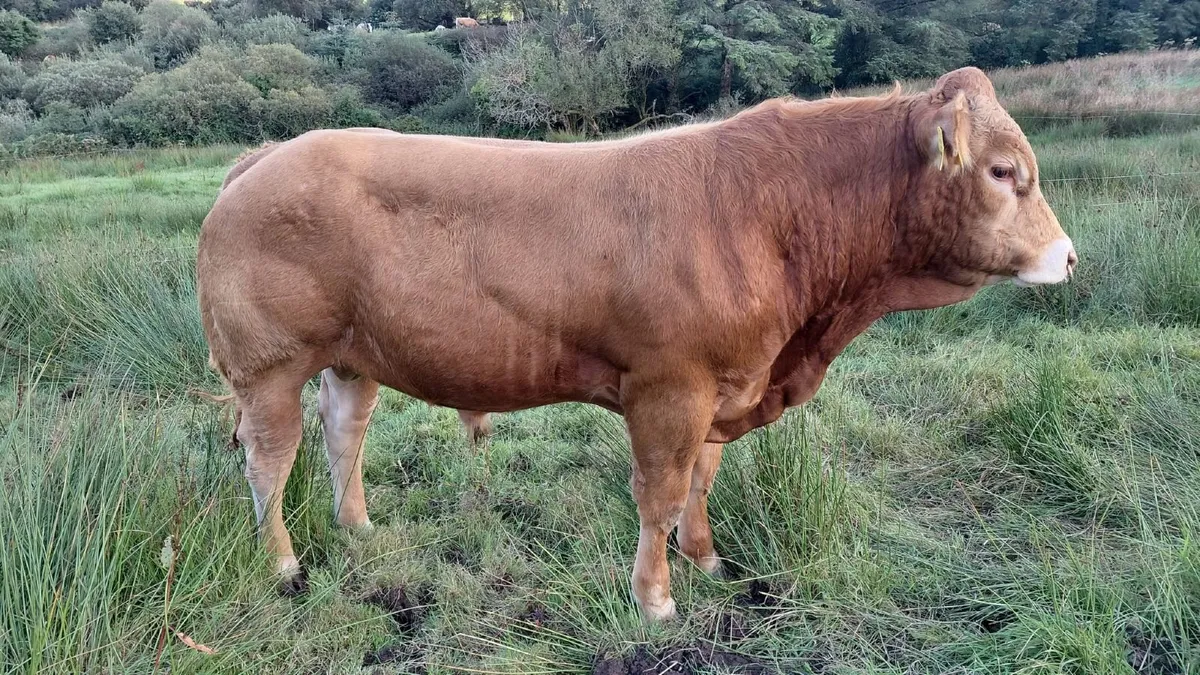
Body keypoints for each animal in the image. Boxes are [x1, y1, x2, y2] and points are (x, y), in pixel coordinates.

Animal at [196, 67, 1076, 622]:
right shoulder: (669, 388)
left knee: (344, 434)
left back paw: (359, 528)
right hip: (267, 367)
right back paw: (284, 563)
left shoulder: (725, 383)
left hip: (352, 355)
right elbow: (659, 492)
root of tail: (272, 154)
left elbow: (700, 483)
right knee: (269, 461)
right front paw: (655, 597)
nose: (1068, 257)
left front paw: (707, 558)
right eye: (1004, 172)